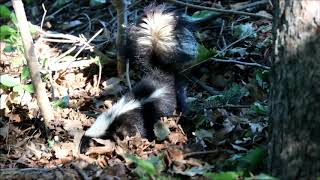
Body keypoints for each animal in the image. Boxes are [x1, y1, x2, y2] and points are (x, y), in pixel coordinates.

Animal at [79, 4, 196, 153]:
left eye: (86, 144)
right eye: (82, 142)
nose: (81, 152)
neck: (112, 118)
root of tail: (160, 73)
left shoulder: (131, 121)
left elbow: (135, 130)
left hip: (165, 103)